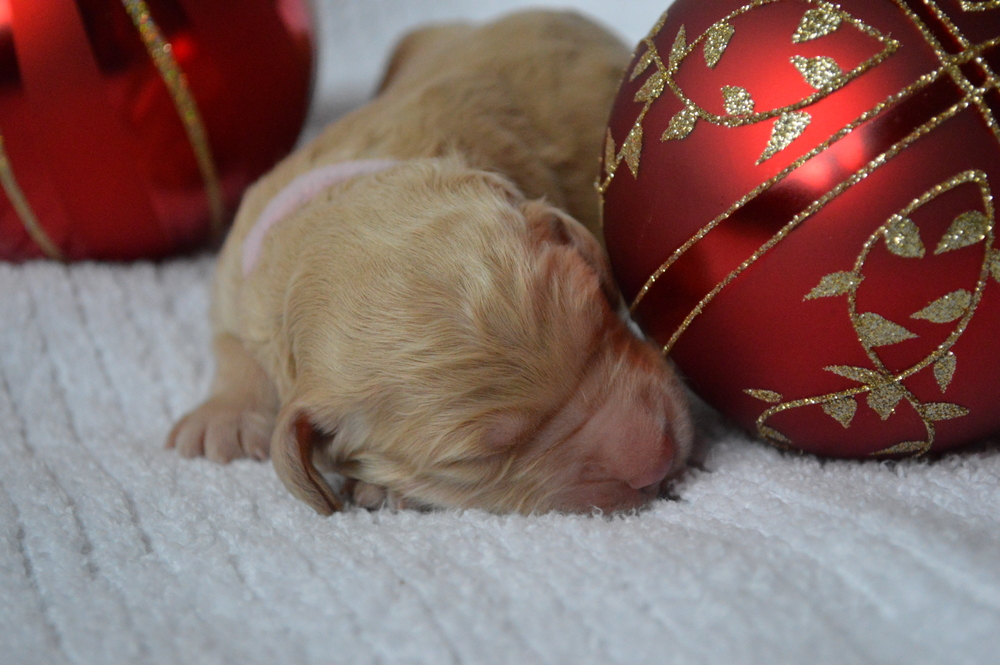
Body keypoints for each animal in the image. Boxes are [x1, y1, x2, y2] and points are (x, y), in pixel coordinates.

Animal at [166, 13, 696, 516]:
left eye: (604, 320)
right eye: (480, 457)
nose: (660, 458)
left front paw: (380, 487)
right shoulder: (237, 266)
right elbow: (232, 344)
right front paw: (223, 419)